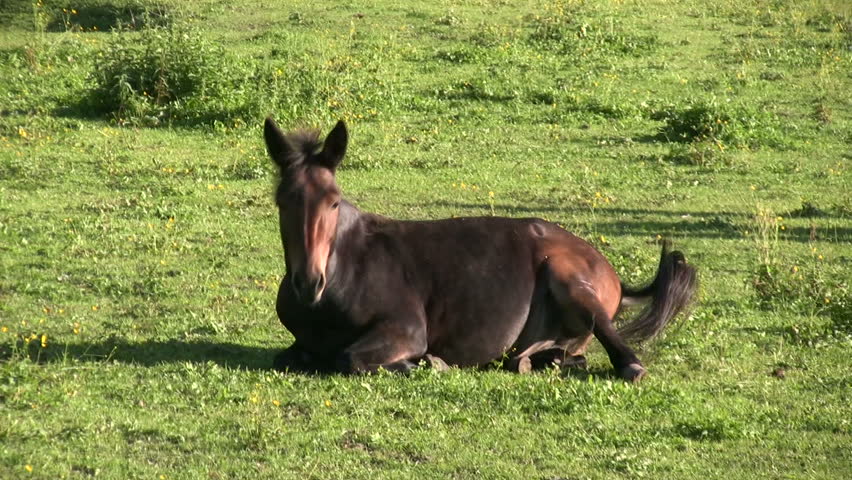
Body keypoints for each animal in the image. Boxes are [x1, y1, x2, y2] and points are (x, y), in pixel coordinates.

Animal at [264, 118, 697, 382]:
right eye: (282, 201)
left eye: (334, 202)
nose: (309, 284)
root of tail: (612, 274)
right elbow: (288, 356)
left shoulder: (405, 328)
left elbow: (349, 357)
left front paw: (431, 362)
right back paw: (540, 361)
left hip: (567, 277)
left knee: (620, 350)